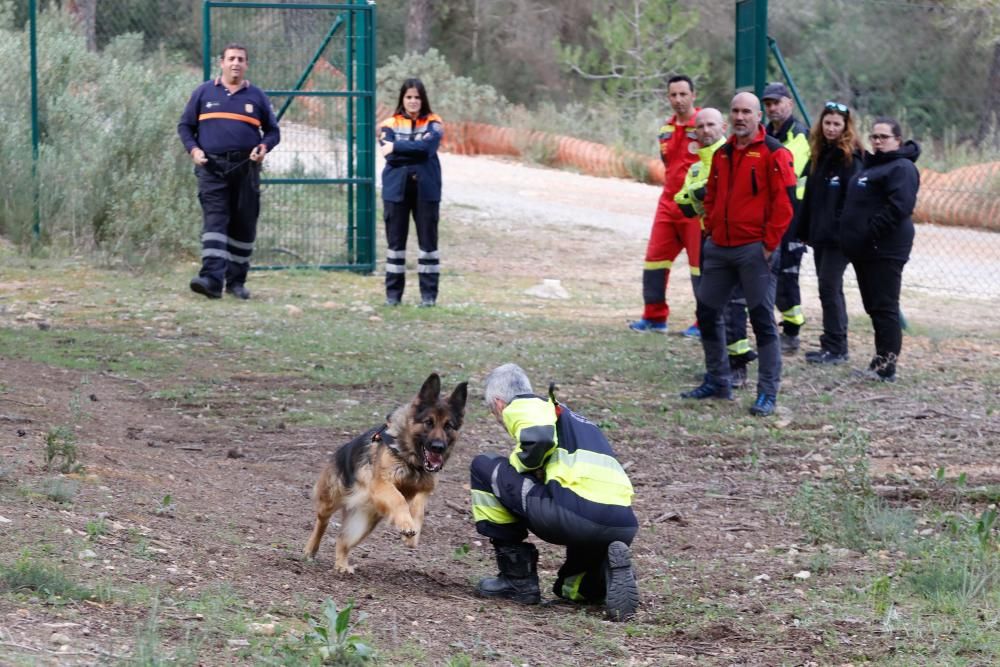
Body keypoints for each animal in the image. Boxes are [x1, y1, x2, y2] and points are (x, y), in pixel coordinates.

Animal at [304, 376, 468, 576]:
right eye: (429, 422)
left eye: (448, 426)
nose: (438, 447)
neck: (412, 460)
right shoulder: (382, 483)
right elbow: (398, 499)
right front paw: (406, 525)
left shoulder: (424, 488)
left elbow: (418, 509)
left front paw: (412, 533)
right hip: (331, 499)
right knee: (322, 521)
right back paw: (311, 549)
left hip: (363, 524)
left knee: (342, 540)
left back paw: (341, 565)